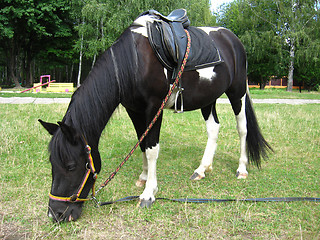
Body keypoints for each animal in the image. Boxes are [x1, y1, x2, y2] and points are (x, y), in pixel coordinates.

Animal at [38, 11, 272, 221]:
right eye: (51, 163)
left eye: (71, 166)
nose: (56, 214)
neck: (133, 62)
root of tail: (232, 39)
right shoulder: (134, 110)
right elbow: (142, 143)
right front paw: (143, 178)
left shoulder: (154, 108)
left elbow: (151, 149)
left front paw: (149, 193)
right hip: (208, 98)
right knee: (213, 128)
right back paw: (202, 169)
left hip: (237, 92)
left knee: (242, 128)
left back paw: (241, 169)